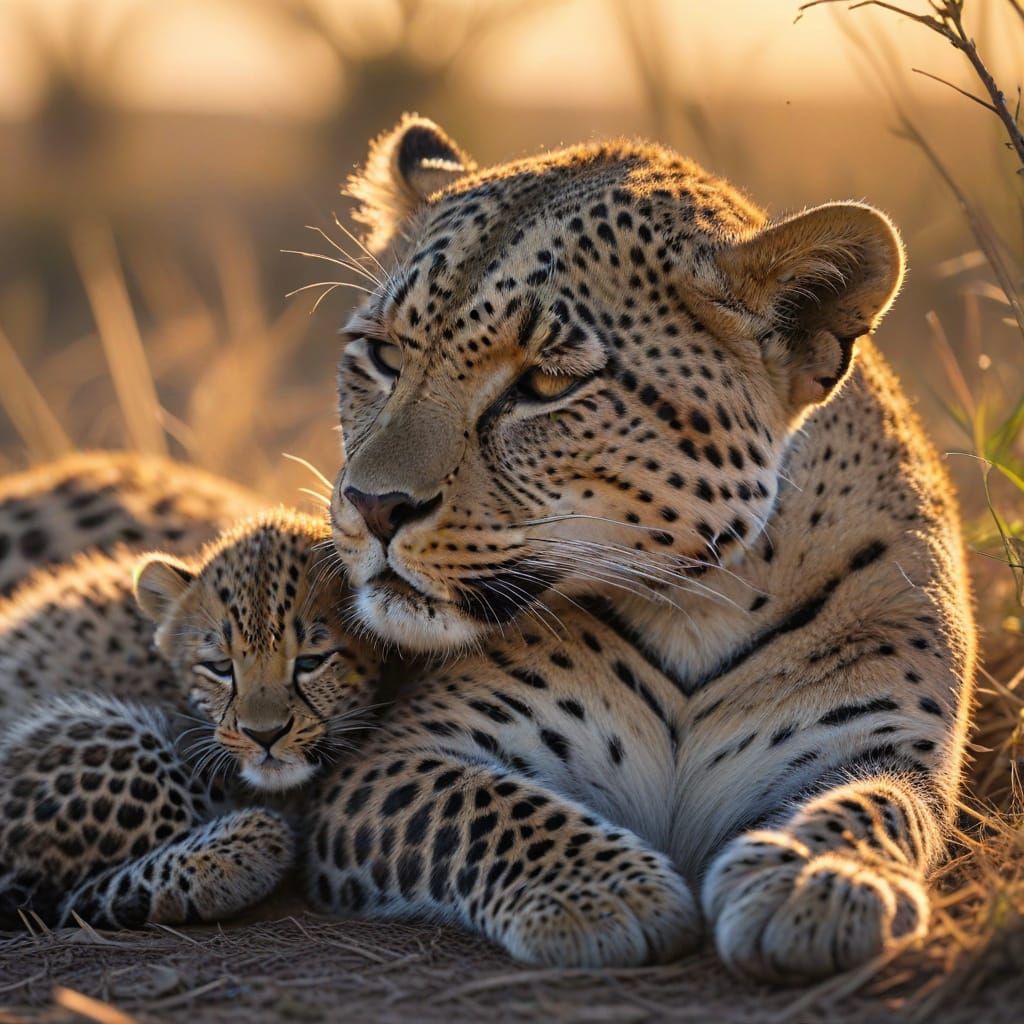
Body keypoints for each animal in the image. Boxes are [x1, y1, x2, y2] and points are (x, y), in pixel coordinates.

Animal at [303, 115, 977, 983]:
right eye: (383, 355)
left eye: (547, 385)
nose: (372, 505)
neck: (699, 609)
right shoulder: (392, 757)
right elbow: (482, 805)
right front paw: (600, 890)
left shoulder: (878, 741)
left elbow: (873, 805)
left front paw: (816, 878)